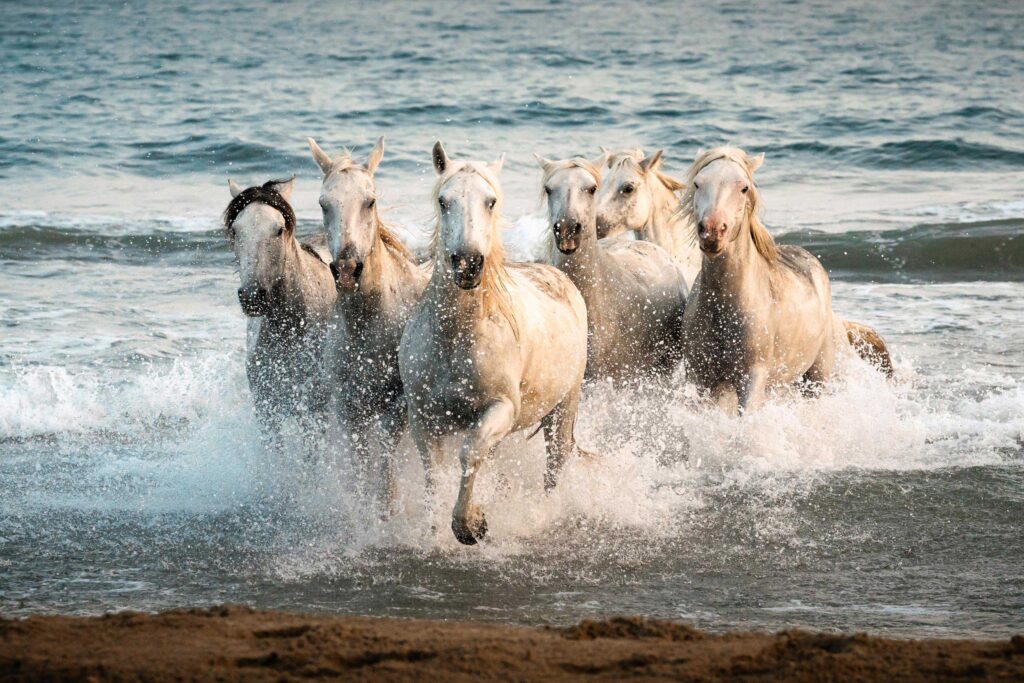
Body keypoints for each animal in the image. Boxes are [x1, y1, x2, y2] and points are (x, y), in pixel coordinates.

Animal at [308, 136, 430, 510]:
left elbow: (386, 451)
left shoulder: (398, 405)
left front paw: (387, 506)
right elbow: (360, 459)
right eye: (323, 204)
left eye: (370, 201)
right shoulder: (349, 407)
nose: (348, 270)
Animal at [399, 142, 590, 545]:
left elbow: (470, 454)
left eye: (491, 201)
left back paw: (545, 514)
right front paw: (434, 529)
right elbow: (432, 472)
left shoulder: (500, 409)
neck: (456, 338)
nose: (468, 263)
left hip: (565, 407)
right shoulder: (423, 417)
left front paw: (470, 525)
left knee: (555, 464)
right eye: (444, 200)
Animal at [678, 147, 892, 414]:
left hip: (816, 378)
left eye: (744, 188)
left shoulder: (752, 378)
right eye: (698, 183)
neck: (724, 306)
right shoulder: (703, 380)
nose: (713, 232)